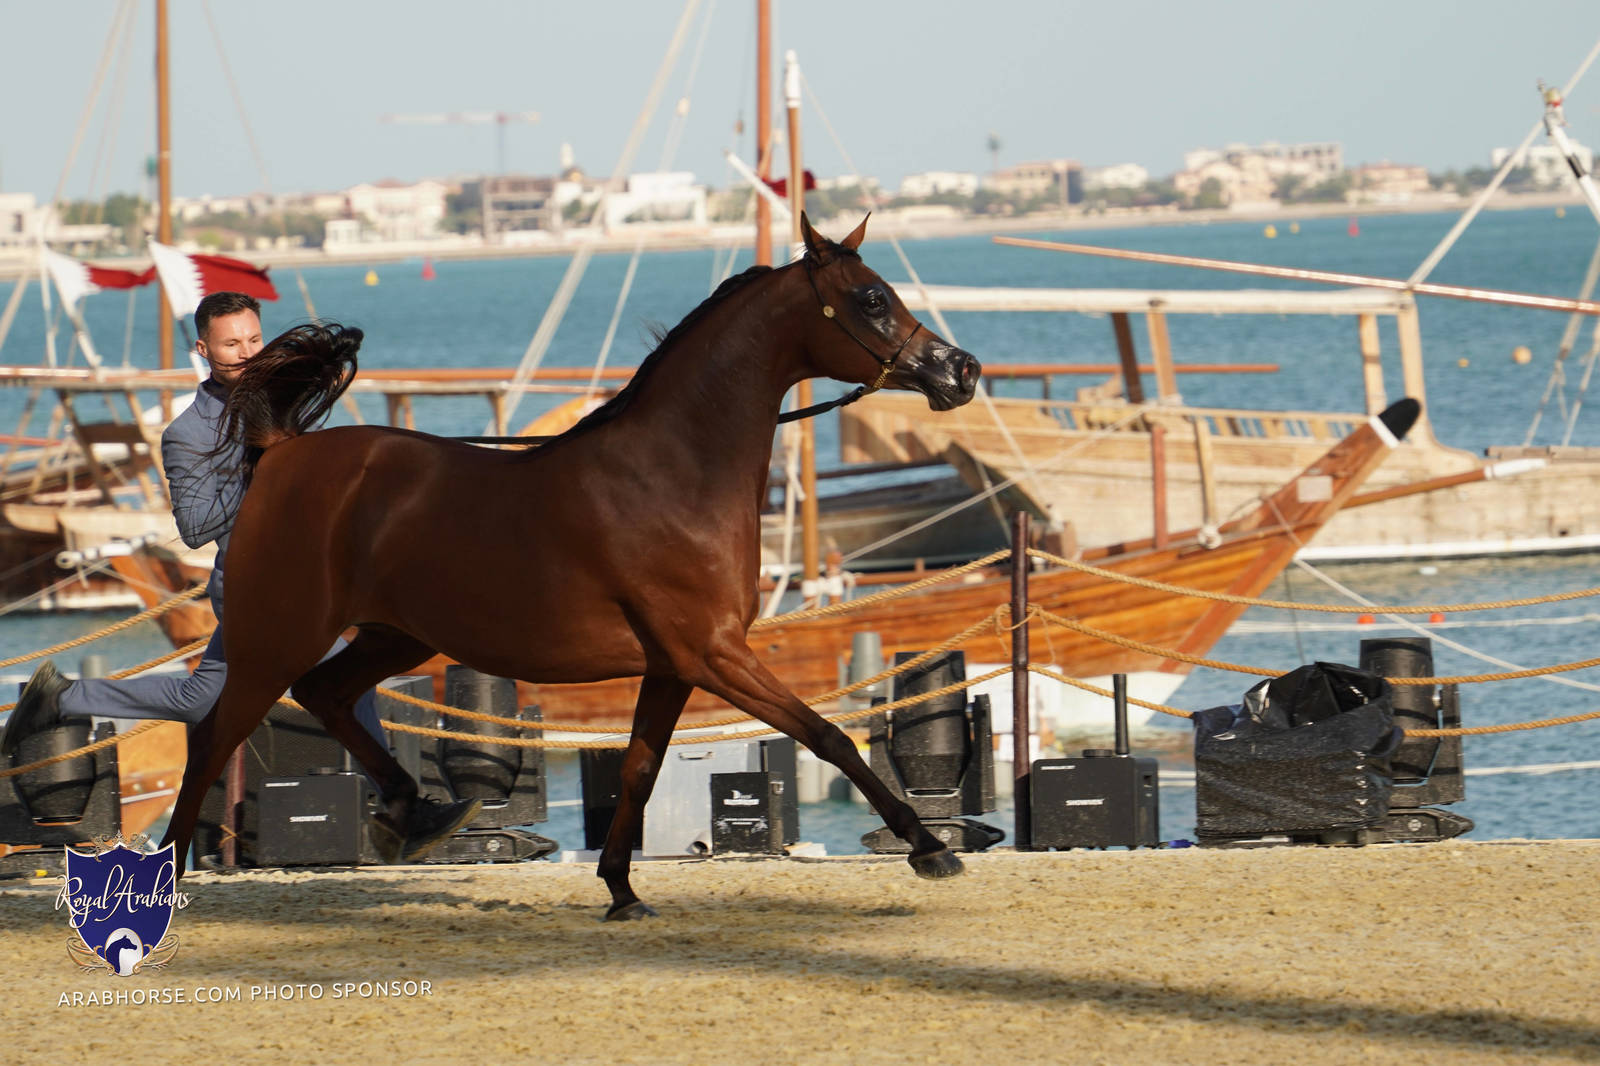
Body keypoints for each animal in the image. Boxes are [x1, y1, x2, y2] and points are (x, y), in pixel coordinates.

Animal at [158, 214, 982, 919]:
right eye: (871, 297)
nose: (962, 370)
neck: (675, 471)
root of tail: (280, 453)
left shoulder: (673, 666)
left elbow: (639, 769)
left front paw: (620, 889)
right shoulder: (715, 653)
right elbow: (829, 736)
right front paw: (929, 848)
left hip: (397, 636)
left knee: (324, 694)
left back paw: (415, 813)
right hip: (276, 640)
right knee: (212, 740)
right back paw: (165, 881)